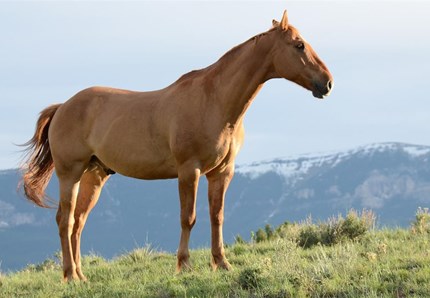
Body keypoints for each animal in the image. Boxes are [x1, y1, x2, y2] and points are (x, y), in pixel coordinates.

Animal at [21, 11, 332, 282]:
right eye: (299, 45)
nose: (327, 83)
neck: (214, 101)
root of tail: (63, 106)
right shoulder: (189, 170)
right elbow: (188, 218)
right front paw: (184, 265)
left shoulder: (222, 172)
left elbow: (217, 216)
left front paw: (222, 263)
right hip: (70, 174)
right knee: (65, 220)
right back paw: (70, 276)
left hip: (93, 175)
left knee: (78, 222)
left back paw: (81, 275)